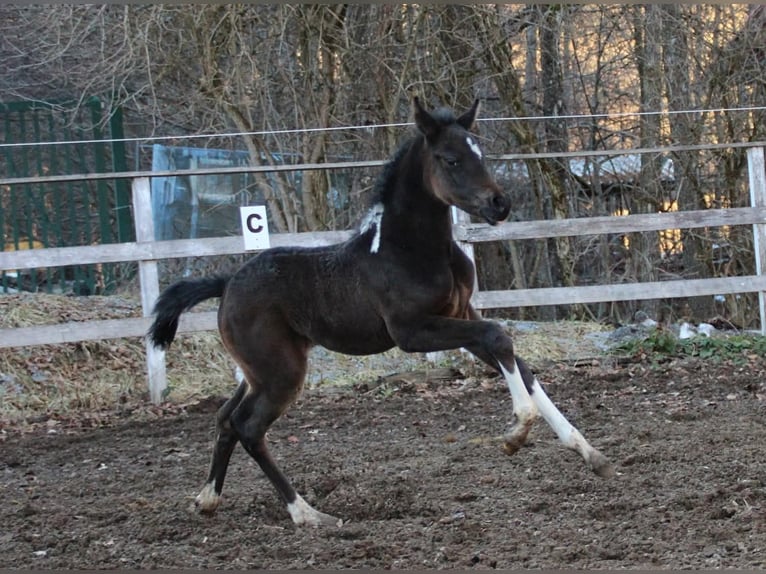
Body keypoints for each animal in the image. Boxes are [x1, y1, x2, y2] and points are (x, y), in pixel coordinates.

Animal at [148, 97, 614, 528]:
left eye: (481, 153)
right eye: (450, 159)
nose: (500, 204)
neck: (409, 249)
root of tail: (227, 282)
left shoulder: (462, 314)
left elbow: (515, 358)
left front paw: (589, 451)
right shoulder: (412, 331)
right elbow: (499, 337)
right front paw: (517, 432)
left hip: (259, 370)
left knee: (226, 419)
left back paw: (208, 499)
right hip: (280, 373)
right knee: (248, 427)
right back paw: (307, 513)